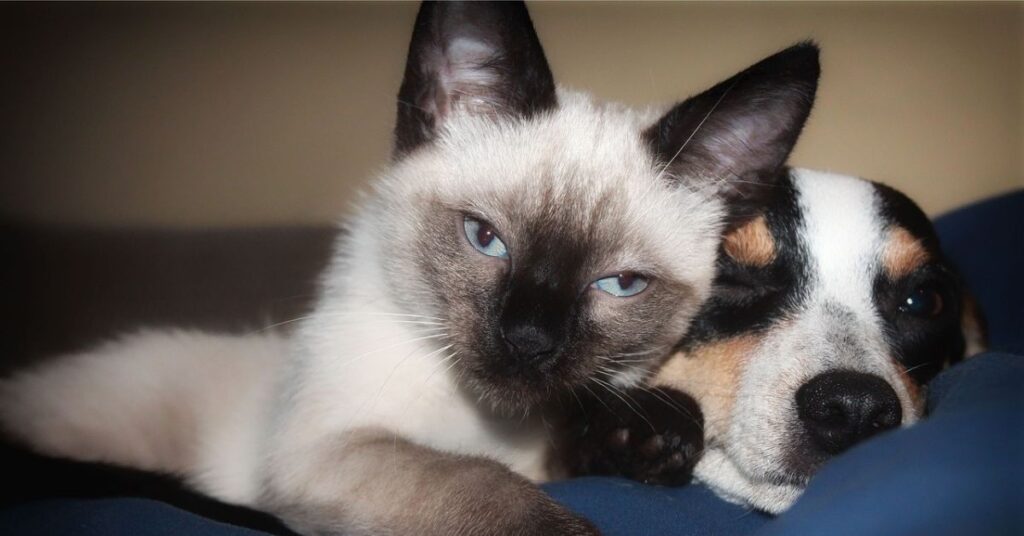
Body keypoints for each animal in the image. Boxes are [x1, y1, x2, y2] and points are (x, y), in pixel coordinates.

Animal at [0, 2, 819, 532]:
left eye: (618, 285)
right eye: (485, 239)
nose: (527, 342)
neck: (487, 421)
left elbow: (597, 433)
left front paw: (648, 436)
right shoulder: (325, 453)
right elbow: (482, 485)